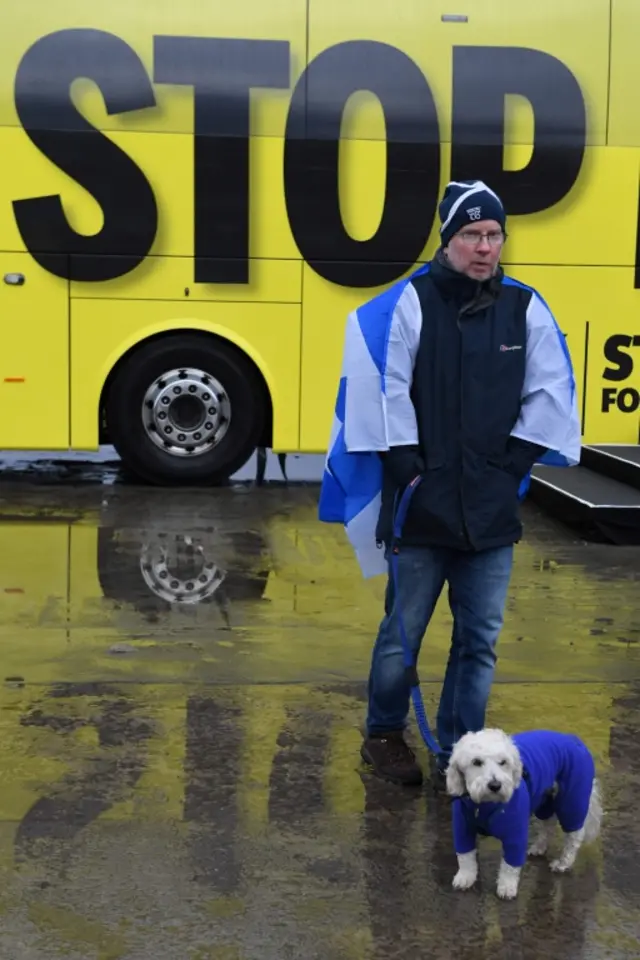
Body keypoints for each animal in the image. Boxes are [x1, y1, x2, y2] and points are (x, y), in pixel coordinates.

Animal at [444, 728, 600, 900]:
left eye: (503, 762)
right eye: (476, 762)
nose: (495, 785)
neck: (485, 804)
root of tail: (572, 739)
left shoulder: (515, 834)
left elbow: (510, 865)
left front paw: (507, 886)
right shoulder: (463, 829)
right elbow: (465, 856)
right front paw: (465, 877)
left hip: (572, 800)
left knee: (574, 834)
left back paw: (564, 862)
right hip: (545, 801)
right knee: (547, 825)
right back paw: (539, 847)